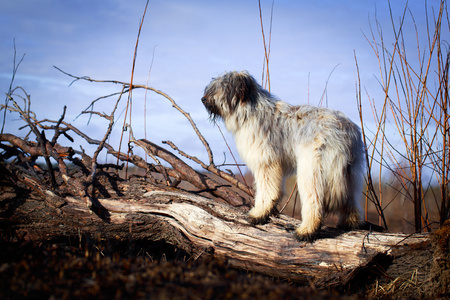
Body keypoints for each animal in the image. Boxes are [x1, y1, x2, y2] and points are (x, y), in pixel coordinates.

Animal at [202, 71, 364, 241]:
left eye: (220, 88)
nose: (203, 99)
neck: (250, 112)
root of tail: (346, 131)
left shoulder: (266, 161)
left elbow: (267, 190)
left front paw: (259, 213)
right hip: (349, 171)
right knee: (350, 198)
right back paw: (350, 222)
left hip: (312, 168)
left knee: (314, 199)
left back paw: (306, 230)